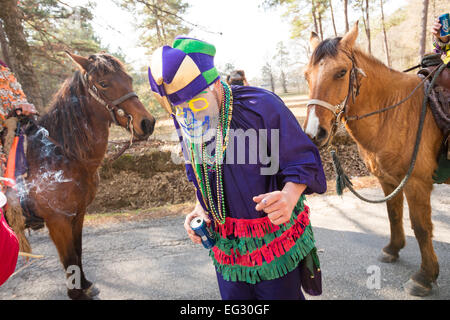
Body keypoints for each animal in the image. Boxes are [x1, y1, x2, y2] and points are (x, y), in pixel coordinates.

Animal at [12, 51, 156, 298]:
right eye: (103, 83)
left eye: (129, 78)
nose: (147, 123)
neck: (62, 156)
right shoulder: (57, 221)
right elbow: (68, 256)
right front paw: (76, 293)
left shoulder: (77, 215)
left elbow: (77, 252)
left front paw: (85, 284)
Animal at [304, 21, 448, 298]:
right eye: (307, 75)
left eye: (341, 72)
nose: (315, 134)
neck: (395, 111)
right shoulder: (388, 179)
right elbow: (393, 214)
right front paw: (393, 249)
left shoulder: (416, 183)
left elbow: (421, 227)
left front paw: (425, 277)